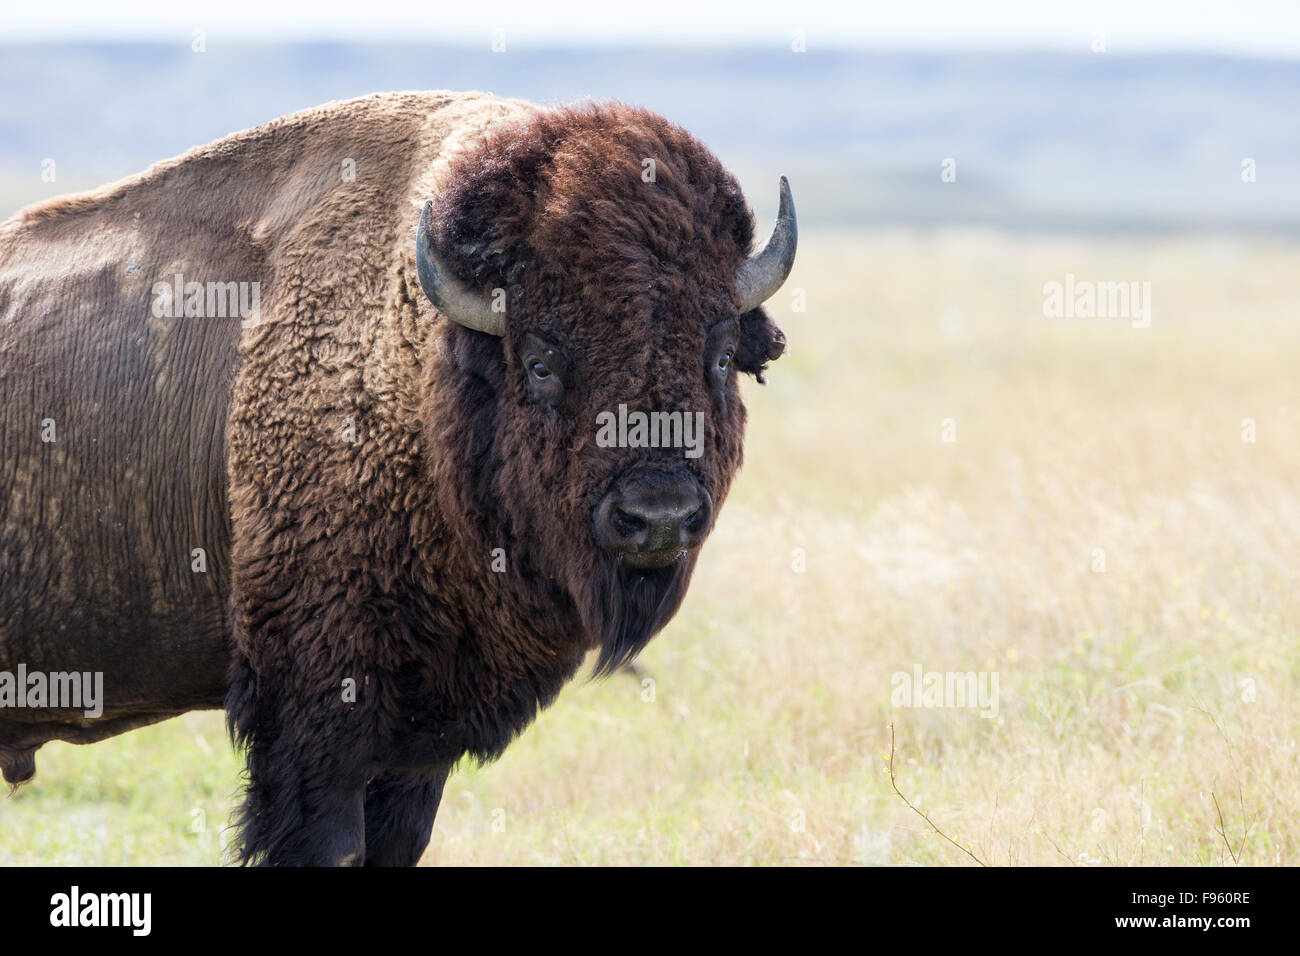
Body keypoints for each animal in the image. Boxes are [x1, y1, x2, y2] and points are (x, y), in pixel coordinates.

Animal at [0, 91, 795, 868]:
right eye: (540, 362)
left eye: (722, 356)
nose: (657, 516)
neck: (421, 363)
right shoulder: (316, 706)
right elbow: (327, 839)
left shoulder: (424, 733)